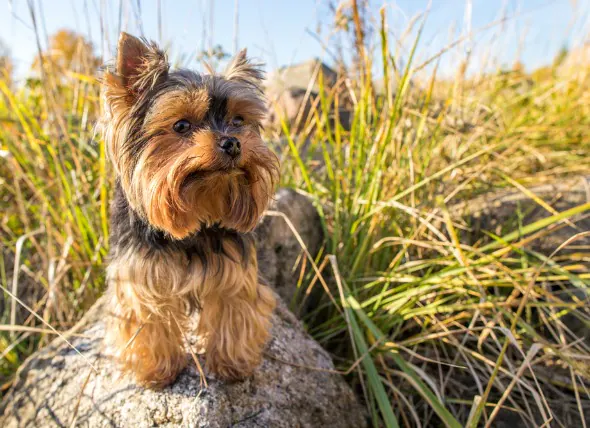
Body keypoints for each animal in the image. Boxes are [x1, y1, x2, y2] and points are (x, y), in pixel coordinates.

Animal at [101, 32, 280, 388]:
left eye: (238, 120)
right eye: (181, 125)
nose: (232, 142)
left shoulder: (235, 271)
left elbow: (233, 311)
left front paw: (232, 364)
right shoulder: (140, 276)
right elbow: (149, 320)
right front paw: (158, 371)